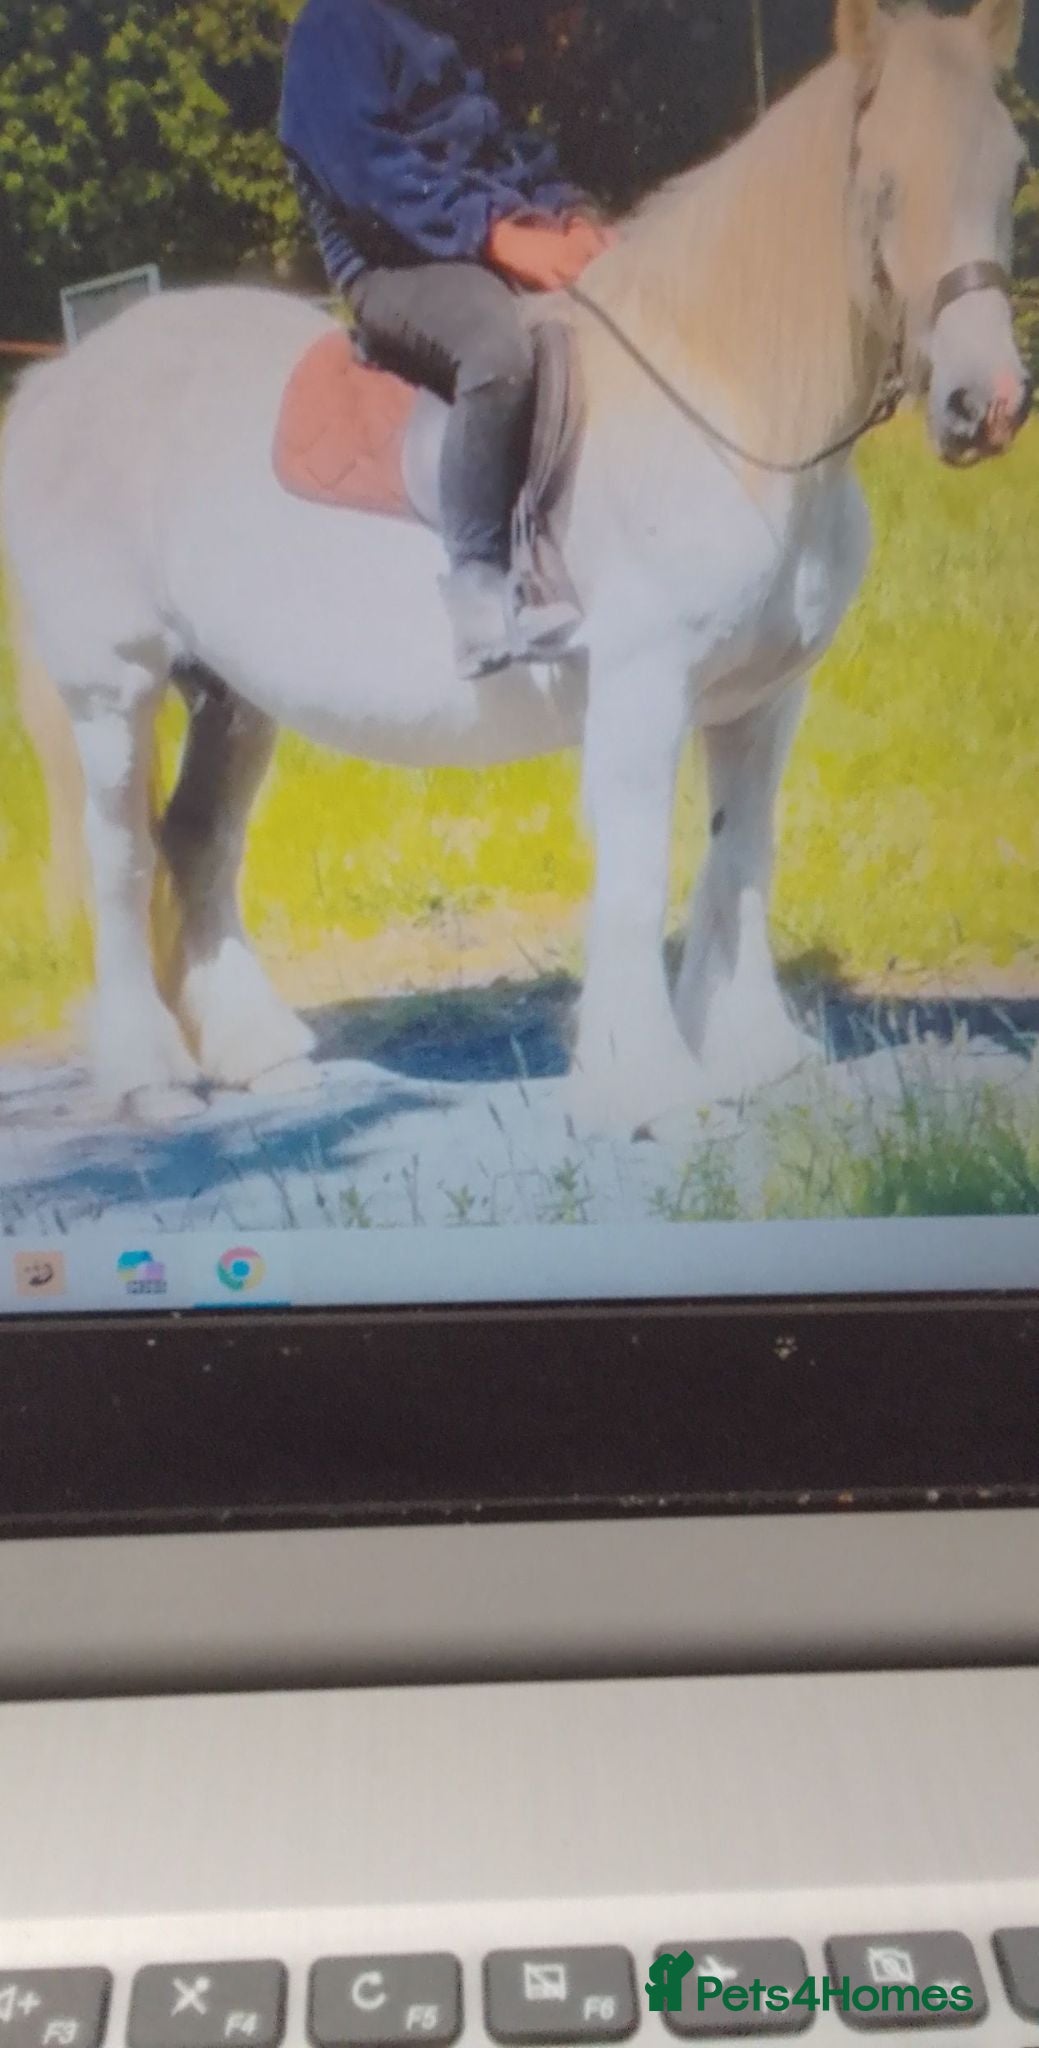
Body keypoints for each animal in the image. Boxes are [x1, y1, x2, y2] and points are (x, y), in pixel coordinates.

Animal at [1, 0, 1031, 1133]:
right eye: (881, 182)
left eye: (1011, 170)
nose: (985, 405)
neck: (720, 398)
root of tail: (58, 385)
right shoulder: (641, 688)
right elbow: (637, 869)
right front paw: (645, 1075)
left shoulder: (763, 699)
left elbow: (741, 852)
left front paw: (750, 1049)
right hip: (114, 689)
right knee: (121, 860)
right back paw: (149, 1075)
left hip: (232, 697)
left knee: (197, 844)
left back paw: (258, 1057)